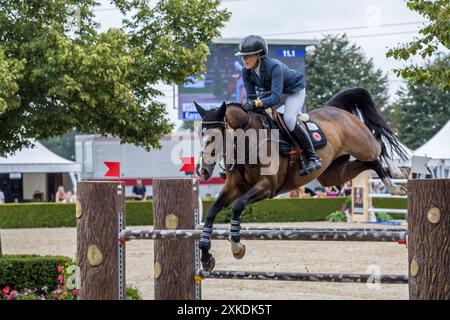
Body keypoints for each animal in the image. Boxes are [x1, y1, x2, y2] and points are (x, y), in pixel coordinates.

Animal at [195, 87, 410, 270]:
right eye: (199, 135)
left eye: (214, 137)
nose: (202, 171)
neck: (246, 142)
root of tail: (336, 109)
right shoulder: (234, 186)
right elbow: (212, 211)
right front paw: (206, 256)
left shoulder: (266, 187)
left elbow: (238, 206)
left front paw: (237, 248)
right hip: (332, 175)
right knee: (370, 163)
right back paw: (395, 184)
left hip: (362, 144)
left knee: (379, 144)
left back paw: (398, 178)